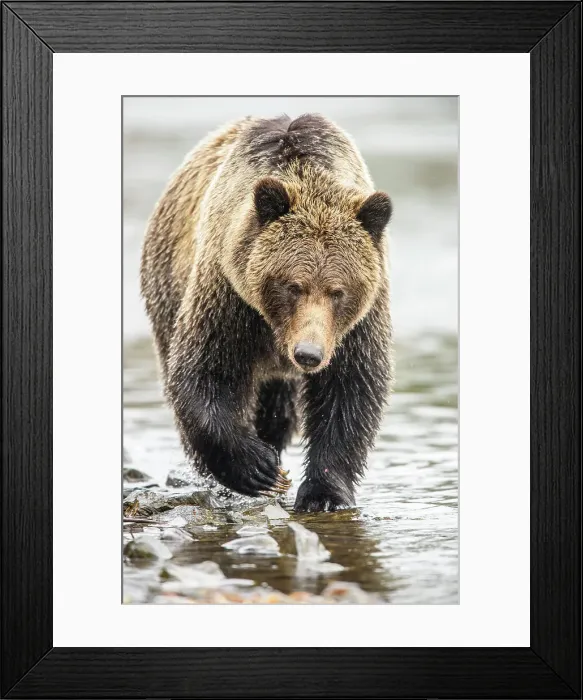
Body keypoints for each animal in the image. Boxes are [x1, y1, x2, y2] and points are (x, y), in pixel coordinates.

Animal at [140, 113, 393, 512]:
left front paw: (324, 493)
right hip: (167, 282)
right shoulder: (229, 294)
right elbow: (204, 372)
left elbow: (350, 388)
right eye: (293, 286)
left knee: (279, 408)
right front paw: (257, 469)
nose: (308, 354)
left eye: (338, 291)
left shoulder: (358, 323)